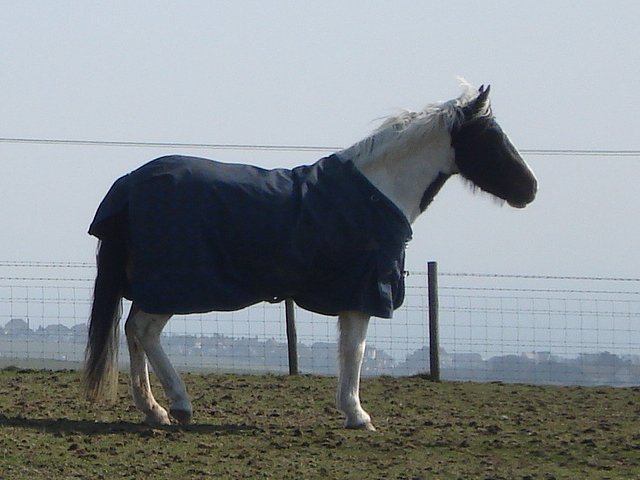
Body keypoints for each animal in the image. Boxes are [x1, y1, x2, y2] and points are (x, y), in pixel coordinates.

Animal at [84, 84, 537, 431]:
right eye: (491, 137)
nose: (529, 189)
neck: (376, 191)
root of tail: (131, 183)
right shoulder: (362, 293)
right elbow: (355, 350)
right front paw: (357, 415)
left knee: (134, 332)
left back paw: (155, 410)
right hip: (170, 286)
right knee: (143, 330)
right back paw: (175, 406)